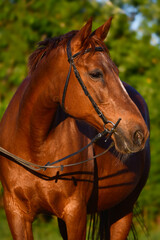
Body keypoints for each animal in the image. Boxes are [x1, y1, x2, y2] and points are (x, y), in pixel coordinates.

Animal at [0, 17, 150, 240]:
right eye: (96, 74)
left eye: (116, 70)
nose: (139, 133)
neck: (34, 145)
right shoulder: (17, 213)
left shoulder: (75, 213)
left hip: (123, 210)